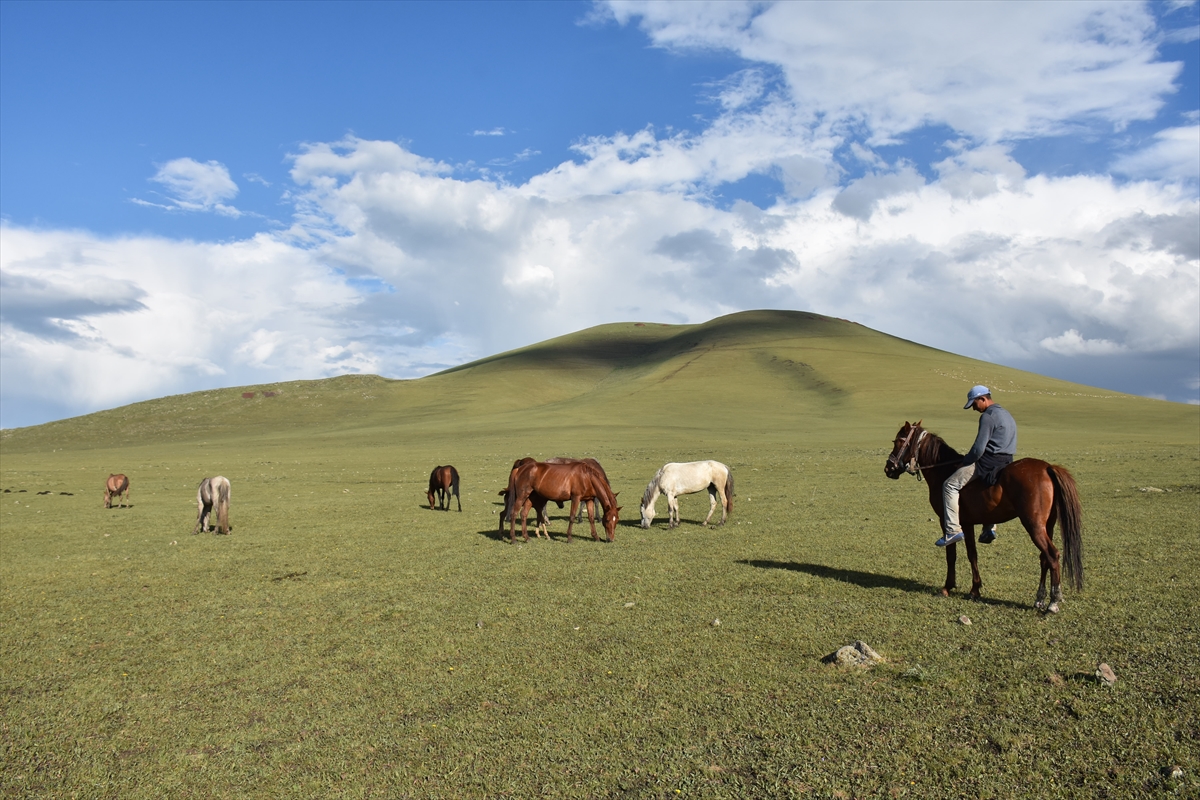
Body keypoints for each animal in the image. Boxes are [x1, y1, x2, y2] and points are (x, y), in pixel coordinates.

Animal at [883, 419, 1089, 614]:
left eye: (898, 440)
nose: (888, 468)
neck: (943, 470)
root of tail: (1047, 467)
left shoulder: (947, 521)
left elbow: (952, 554)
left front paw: (948, 587)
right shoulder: (968, 524)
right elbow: (972, 554)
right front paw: (975, 589)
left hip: (1034, 525)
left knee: (1052, 555)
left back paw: (1054, 601)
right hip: (1048, 525)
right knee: (1044, 558)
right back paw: (1039, 598)